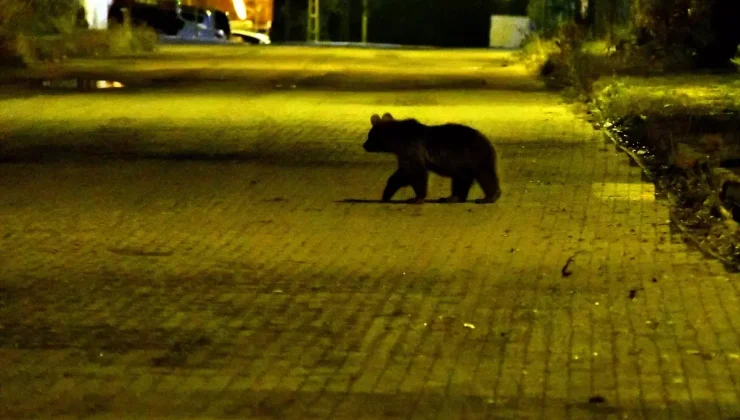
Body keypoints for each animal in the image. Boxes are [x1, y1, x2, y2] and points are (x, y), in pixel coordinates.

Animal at [362, 111, 500, 203]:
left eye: (369, 136)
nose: (364, 145)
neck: (398, 141)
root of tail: (488, 141)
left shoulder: (412, 149)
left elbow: (416, 173)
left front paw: (416, 198)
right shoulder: (404, 154)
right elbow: (401, 174)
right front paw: (386, 195)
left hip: (474, 156)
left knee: (485, 175)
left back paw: (488, 197)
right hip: (464, 163)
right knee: (462, 179)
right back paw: (451, 197)